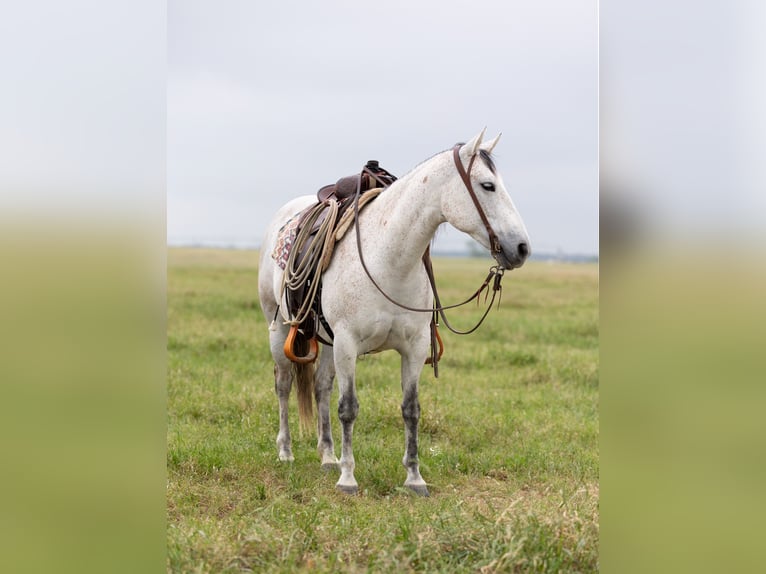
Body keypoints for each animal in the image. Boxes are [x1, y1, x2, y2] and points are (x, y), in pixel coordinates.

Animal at [258, 129, 528, 496]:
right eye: (488, 186)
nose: (522, 248)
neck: (388, 259)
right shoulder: (348, 343)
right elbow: (348, 408)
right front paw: (348, 478)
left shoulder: (413, 347)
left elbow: (410, 410)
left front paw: (414, 478)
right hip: (280, 329)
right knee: (284, 384)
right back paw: (286, 451)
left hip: (326, 341)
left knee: (321, 387)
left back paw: (327, 457)